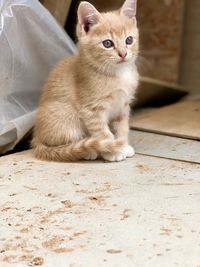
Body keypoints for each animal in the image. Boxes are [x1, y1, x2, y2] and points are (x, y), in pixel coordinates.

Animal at [31, 0, 139, 162]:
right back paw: (87, 150)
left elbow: (122, 128)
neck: (117, 74)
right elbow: (103, 133)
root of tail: (37, 138)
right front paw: (113, 151)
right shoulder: (91, 110)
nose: (123, 54)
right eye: (108, 43)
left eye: (129, 40)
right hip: (66, 116)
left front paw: (123, 144)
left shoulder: (123, 105)